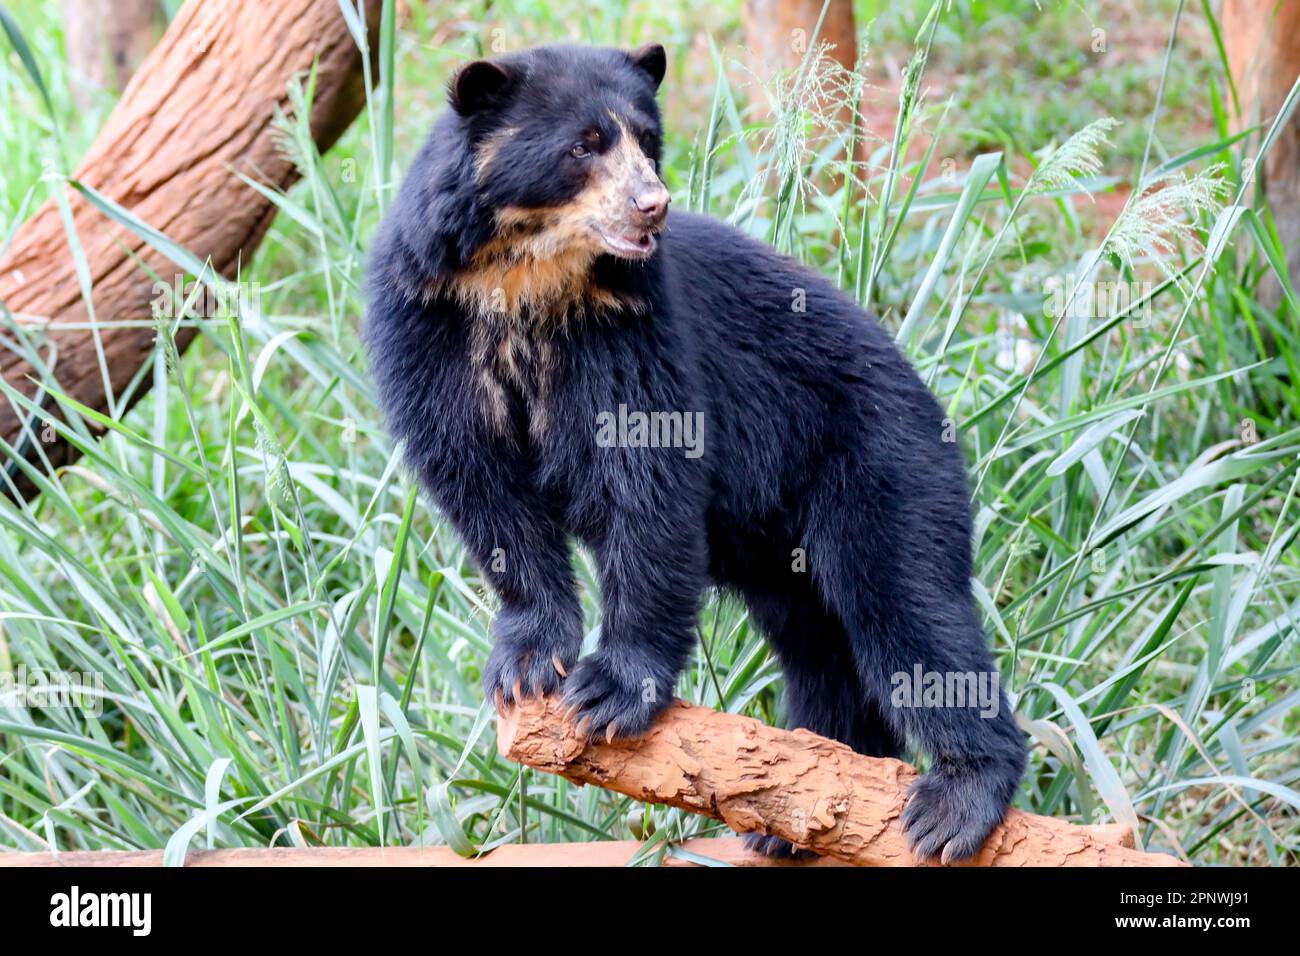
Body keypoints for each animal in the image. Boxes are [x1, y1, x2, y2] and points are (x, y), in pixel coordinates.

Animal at [364, 42, 1026, 863]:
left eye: (647, 140)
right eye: (584, 145)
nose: (653, 204)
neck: (525, 279)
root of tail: (929, 399)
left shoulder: (627, 328)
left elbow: (647, 483)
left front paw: (609, 692)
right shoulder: (427, 322)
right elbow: (481, 489)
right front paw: (525, 667)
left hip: (878, 459)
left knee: (910, 607)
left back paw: (954, 802)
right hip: (786, 546)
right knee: (823, 646)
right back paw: (802, 804)